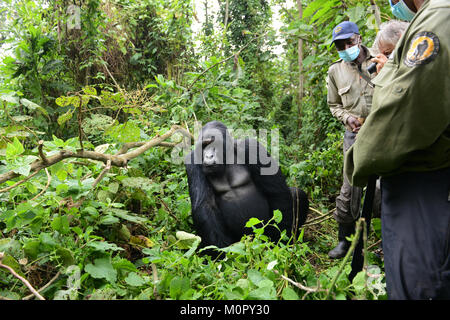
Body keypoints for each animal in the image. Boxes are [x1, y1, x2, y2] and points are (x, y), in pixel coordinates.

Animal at [185, 121, 308, 249]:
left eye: (215, 144)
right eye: (203, 146)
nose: (208, 156)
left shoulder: (252, 148)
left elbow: (277, 193)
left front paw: (282, 240)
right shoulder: (192, 162)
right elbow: (205, 207)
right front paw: (221, 250)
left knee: (297, 194)